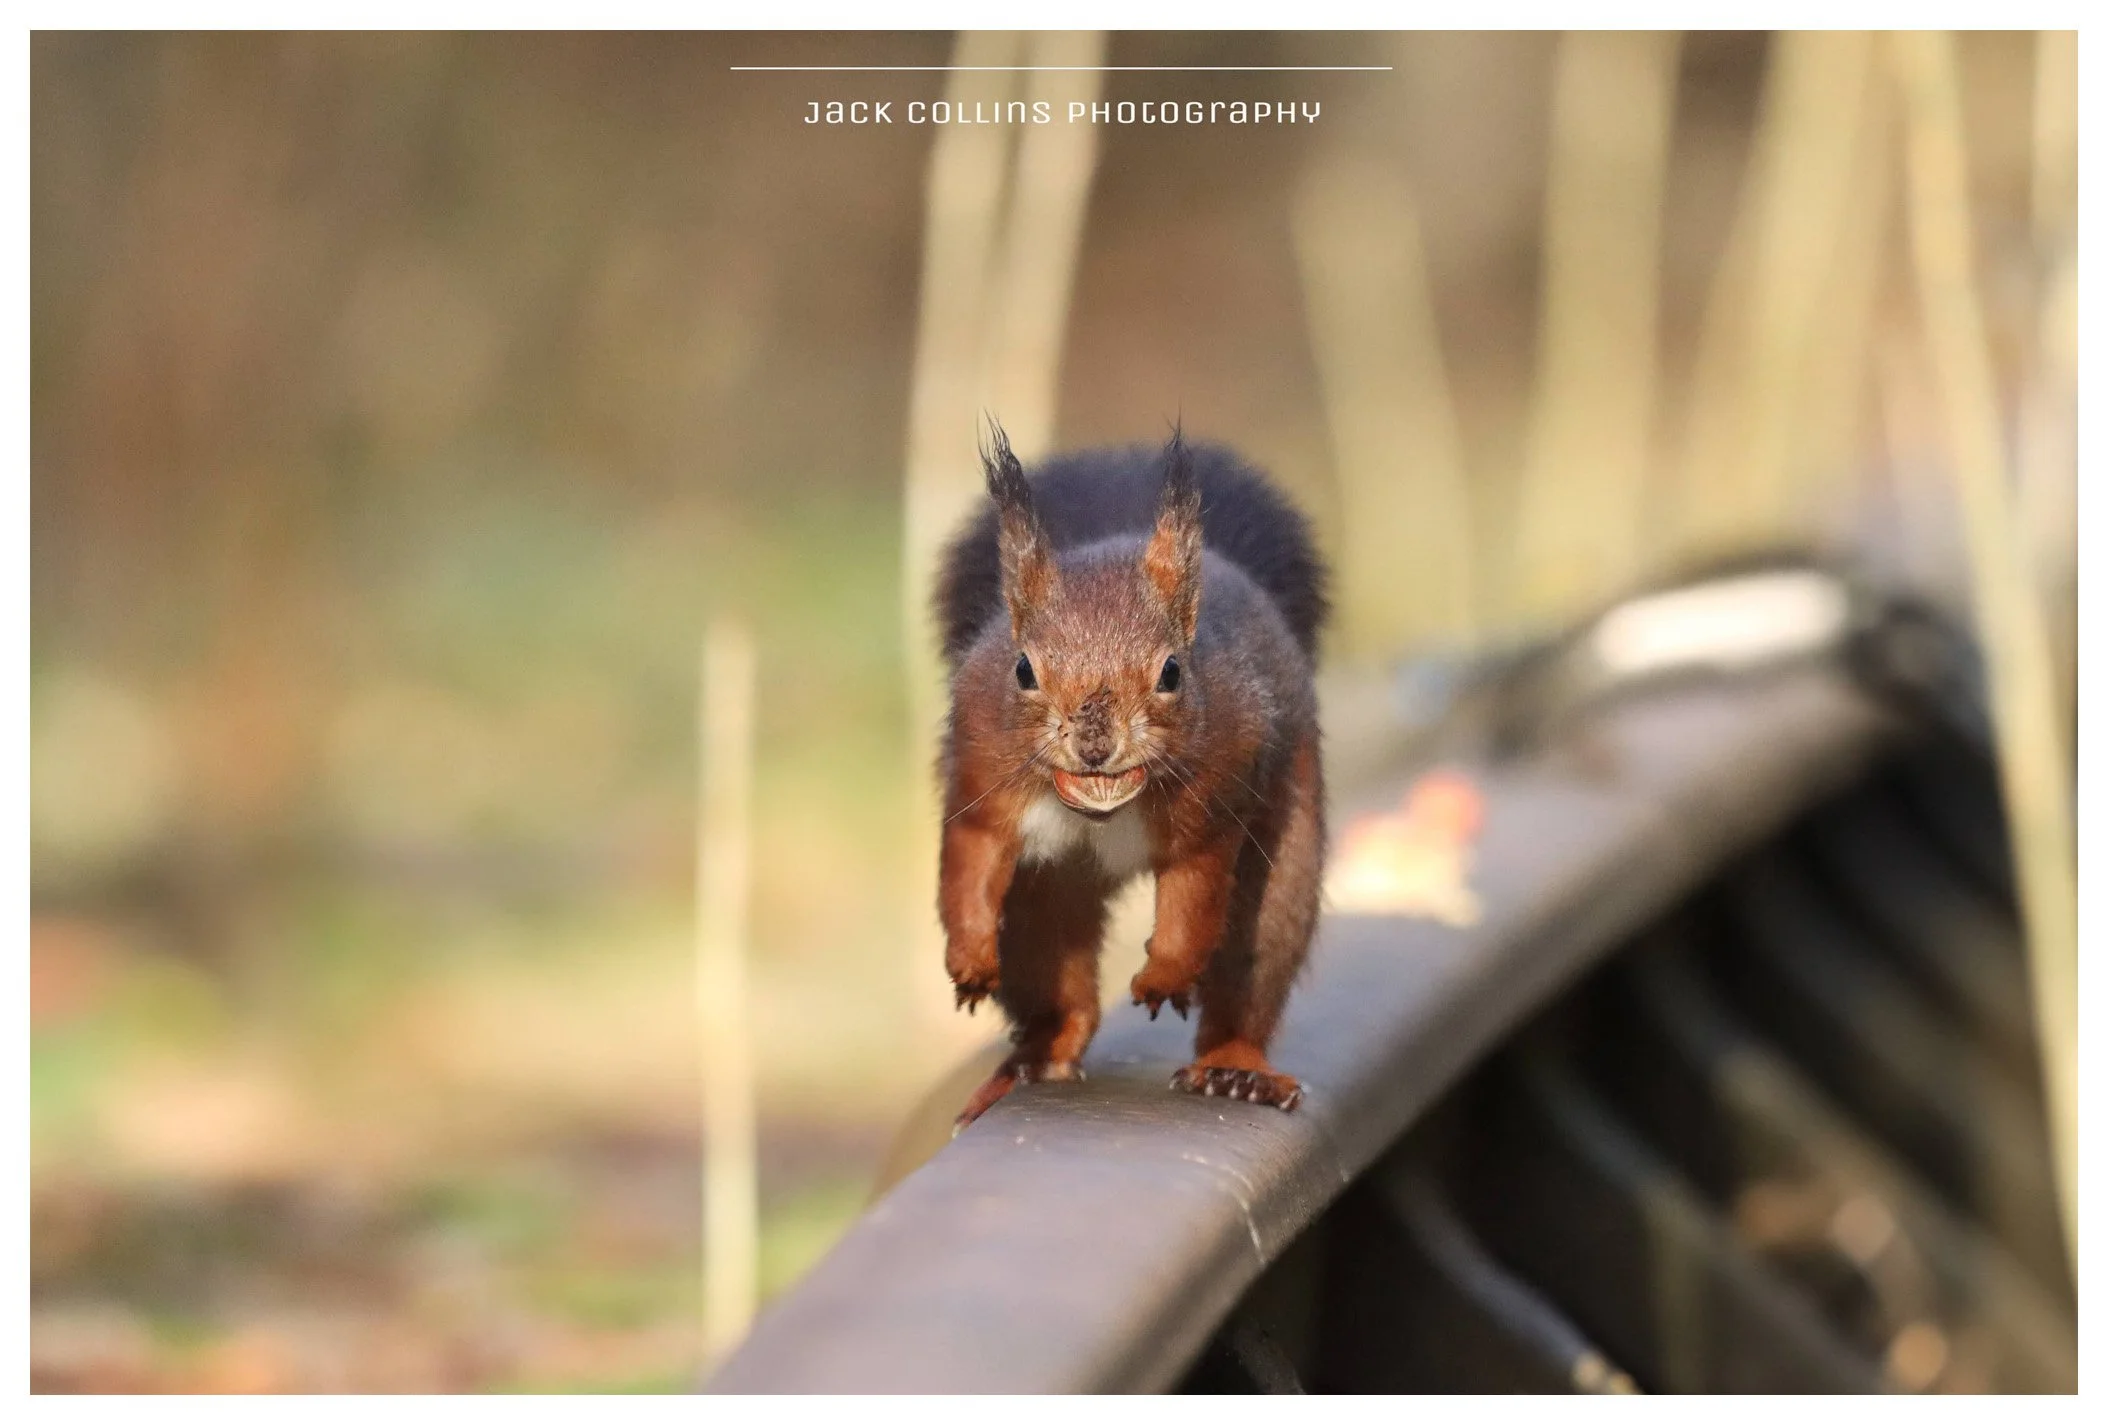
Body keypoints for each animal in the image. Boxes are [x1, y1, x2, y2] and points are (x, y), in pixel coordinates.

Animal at [932, 423, 1330, 1129]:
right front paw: (971, 960)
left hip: (1284, 864)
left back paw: (1235, 1068)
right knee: (1059, 993)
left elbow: (1193, 902)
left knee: (1251, 964)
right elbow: (970, 860)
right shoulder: (979, 771)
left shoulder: (1216, 796)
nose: (1094, 744)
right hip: (1041, 909)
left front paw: (1163, 977)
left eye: (1171, 672)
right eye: (1023, 669)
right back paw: (1031, 1061)